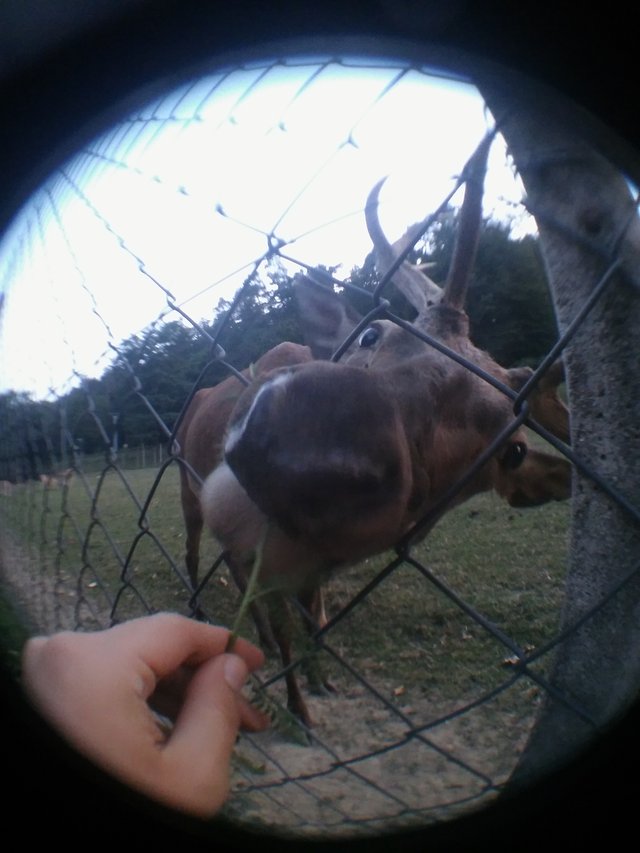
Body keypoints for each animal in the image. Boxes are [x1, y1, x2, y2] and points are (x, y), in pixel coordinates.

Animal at [199, 135, 568, 724]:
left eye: (510, 451)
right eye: (372, 334)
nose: (301, 459)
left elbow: (307, 625)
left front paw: (312, 690)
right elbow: (281, 629)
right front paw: (291, 706)